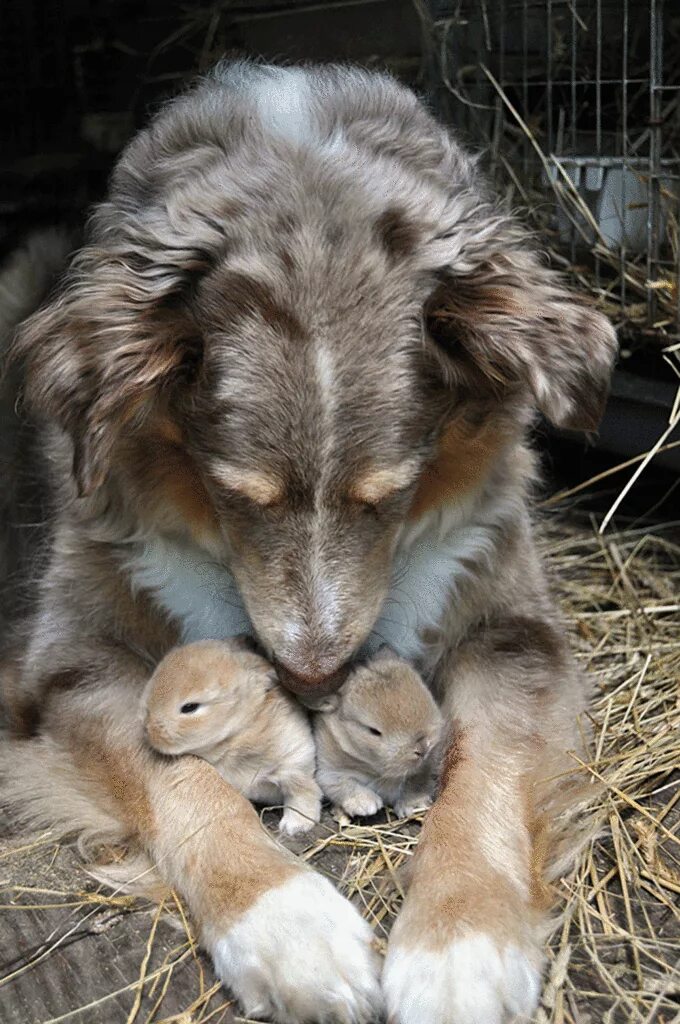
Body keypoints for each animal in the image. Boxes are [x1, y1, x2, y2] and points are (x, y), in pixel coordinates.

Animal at [142, 643, 323, 835]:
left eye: (190, 707)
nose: (147, 727)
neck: (236, 734)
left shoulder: (294, 765)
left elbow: (302, 795)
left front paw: (294, 825)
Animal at [315, 647, 444, 823]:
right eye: (373, 731)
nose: (423, 747)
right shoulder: (328, 773)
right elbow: (344, 785)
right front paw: (366, 805)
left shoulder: (424, 769)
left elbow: (416, 783)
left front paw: (414, 805)